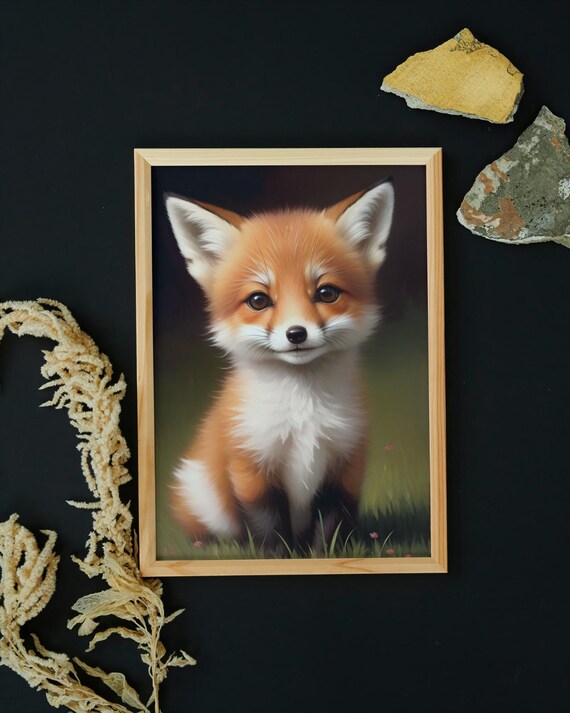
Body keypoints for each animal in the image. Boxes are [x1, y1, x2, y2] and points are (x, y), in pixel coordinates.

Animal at [165, 178, 395, 553]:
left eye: (326, 293)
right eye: (259, 300)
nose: (296, 333)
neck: (303, 416)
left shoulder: (346, 463)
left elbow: (331, 528)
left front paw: (323, 556)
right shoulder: (251, 467)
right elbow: (269, 529)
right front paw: (278, 556)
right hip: (200, 494)